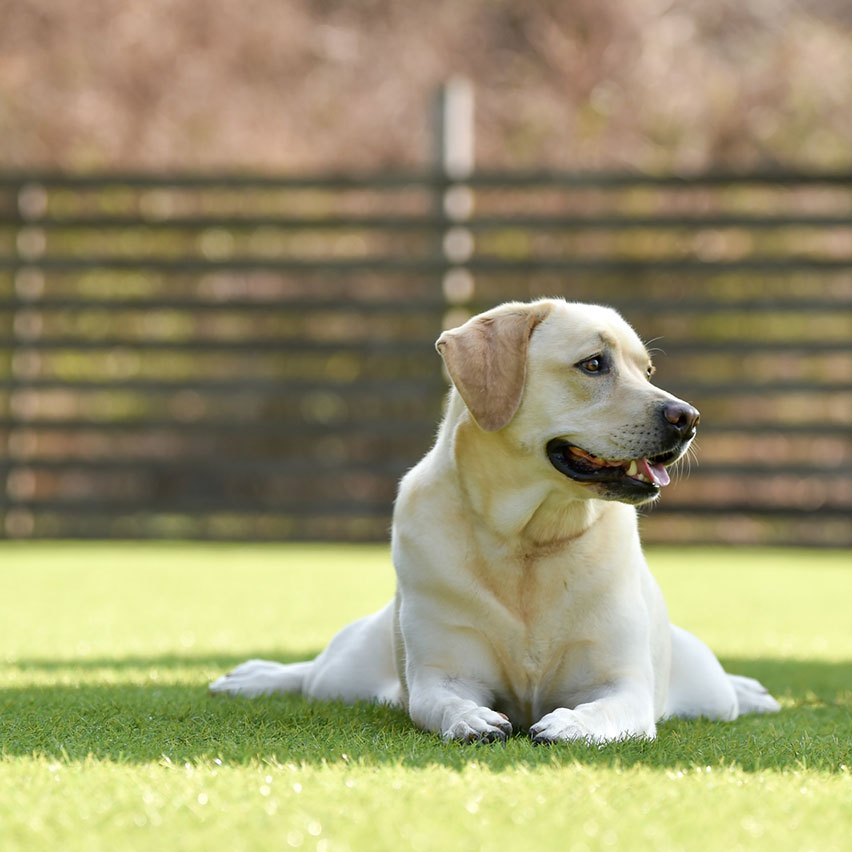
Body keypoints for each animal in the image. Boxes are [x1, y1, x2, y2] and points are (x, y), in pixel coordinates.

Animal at [208, 302, 780, 744]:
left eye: (647, 372)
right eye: (594, 364)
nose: (688, 418)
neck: (528, 541)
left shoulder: (625, 685)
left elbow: (605, 709)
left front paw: (571, 725)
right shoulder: (442, 674)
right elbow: (442, 703)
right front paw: (471, 720)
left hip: (705, 686)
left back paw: (751, 692)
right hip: (345, 672)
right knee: (310, 675)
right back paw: (254, 678)